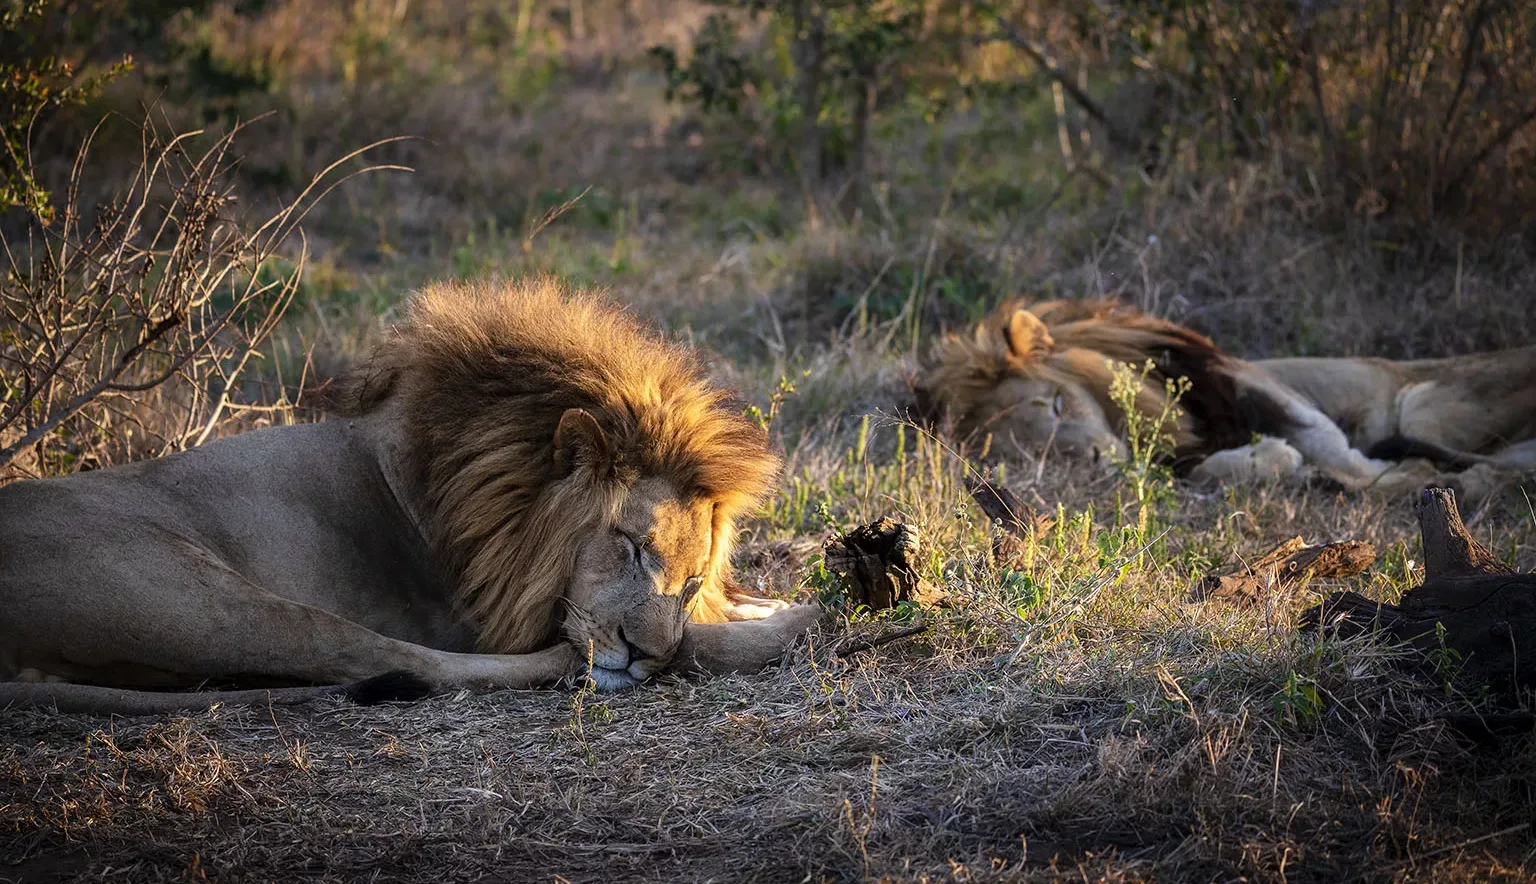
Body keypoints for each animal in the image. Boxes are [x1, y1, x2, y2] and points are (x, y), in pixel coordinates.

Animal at [0, 278, 825, 715]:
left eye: (689, 581)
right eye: (628, 546)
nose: (642, 651)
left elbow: (724, 612)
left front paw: (775, 603)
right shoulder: (489, 618)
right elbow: (696, 643)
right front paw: (802, 618)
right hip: (201, 602)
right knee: (398, 662)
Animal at [917, 299, 1536, 499]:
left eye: (1057, 405)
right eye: (1033, 454)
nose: (1096, 458)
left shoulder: (1263, 389)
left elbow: (1337, 451)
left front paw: (1388, 479)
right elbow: (1211, 471)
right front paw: (1274, 463)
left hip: (1424, 405)